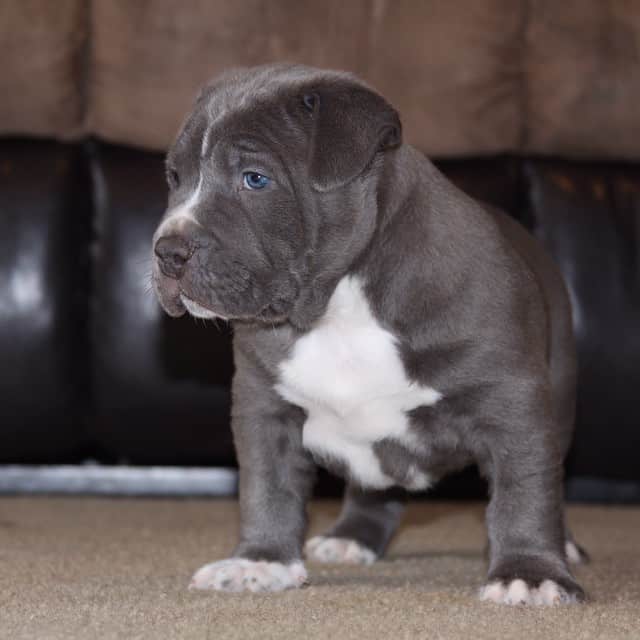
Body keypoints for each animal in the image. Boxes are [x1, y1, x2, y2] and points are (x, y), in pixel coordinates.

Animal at [152, 63, 588, 604]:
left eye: (255, 179)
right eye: (175, 178)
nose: (167, 250)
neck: (337, 308)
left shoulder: (512, 403)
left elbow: (524, 489)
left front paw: (528, 573)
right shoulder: (264, 406)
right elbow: (267, 486)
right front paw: (261, 561)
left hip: (560, 397)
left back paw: (562, 546)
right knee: (374, 484)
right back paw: (351, 536)